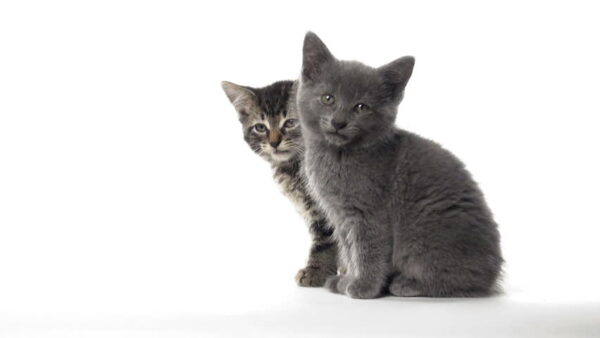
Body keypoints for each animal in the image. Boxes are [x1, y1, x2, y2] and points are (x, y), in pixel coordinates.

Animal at [298, 33, 504, 298]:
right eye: (328, 98)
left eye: (361, 107)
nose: (339, 122)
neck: (338, 155)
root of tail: (494, 274)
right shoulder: (340, 216)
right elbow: (348, 248)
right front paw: (346, 280)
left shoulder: (369, 213)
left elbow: (368, 250)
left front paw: (364, 286)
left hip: (423, 234)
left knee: (459, 281)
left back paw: (405, 284)